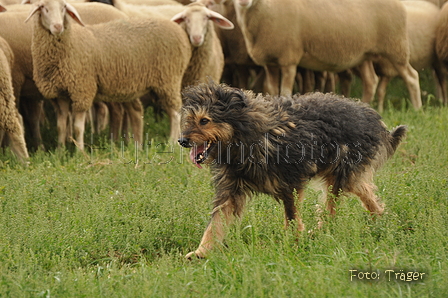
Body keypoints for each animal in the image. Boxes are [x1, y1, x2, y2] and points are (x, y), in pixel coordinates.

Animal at [25, 0, 191, 149]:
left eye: (64, 8)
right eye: (43, 8)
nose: (58, 27)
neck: (71, 43)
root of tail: (178, 30)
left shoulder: (82, 91)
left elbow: (78, 127)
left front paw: (80, 152)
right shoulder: (60, 96)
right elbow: (61, 126)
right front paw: (60, 151)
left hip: (169, 79)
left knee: (175, 112)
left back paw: (172, 141)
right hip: (133, 86)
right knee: (137, 111)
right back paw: (135, 145)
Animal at [178, 81, 406, 258]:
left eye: (204, 120)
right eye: (189, 120)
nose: (182, 141)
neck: (247, 137)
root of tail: (371, 115)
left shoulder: (291, 182)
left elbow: (292, 215)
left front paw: (294, 243)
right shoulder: (231, 190)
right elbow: (216, 222)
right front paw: (201, 252)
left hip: (343, 173)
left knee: (341, 201)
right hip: (340, 176)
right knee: (358, 193)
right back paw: (373, 219)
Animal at [233, 0, 422, 110]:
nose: (243, 1)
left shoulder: (289, 57)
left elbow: (285, 91)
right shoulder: (270, 62)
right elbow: (272, 91)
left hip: (395, 46)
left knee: (411, 76)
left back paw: (417, 109)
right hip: (365, 54)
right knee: (371, 81)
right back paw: (365, 106)